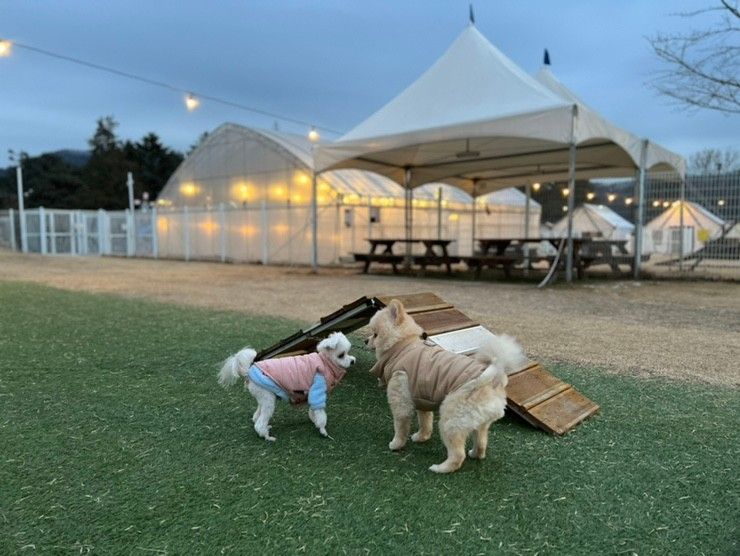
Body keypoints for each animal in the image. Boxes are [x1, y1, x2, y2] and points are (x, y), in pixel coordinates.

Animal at [218, 330, 356, 444]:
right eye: (341, 355)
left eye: (348, 352)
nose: (352, 361)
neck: (325, 362)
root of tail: (249, 371)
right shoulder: (317, 390)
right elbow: (321, 415)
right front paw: (323, 430)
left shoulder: (312, 395)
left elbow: (313, 411)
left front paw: (314, 421)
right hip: (269, 400)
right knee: (259, 423)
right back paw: (267, 437)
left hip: (264, 397)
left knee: (257, 415)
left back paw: (265, 428)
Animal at [366, 300, 528, 474]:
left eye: (375, 334)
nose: (365, 341)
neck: (404, 345)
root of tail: (494, 380)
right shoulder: (422, 399)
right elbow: (425, 422)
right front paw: (421, 437)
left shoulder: (401, 398)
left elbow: (401, 426)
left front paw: (396, 444)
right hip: (479, 423)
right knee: (481, 442)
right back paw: (475, 454)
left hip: (450, 420)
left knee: (457, 455)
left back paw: (440, 468)